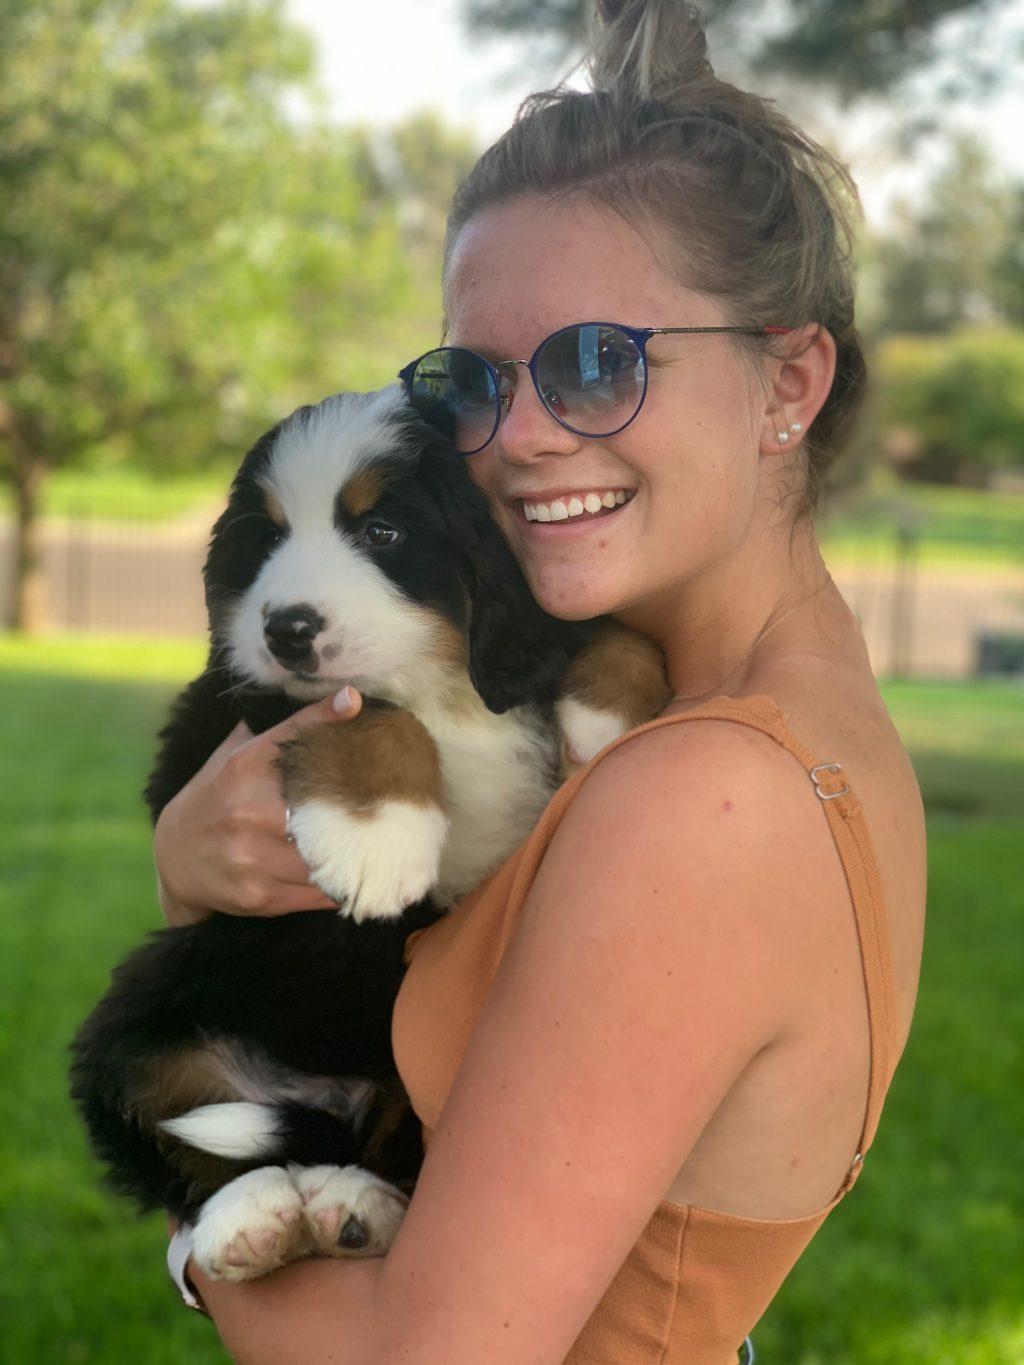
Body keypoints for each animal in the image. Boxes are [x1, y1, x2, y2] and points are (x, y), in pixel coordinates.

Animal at [68, 384, 669, 1277]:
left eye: (382, 532)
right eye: (269, 537)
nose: (286, 628)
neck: (442, 683)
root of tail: (316, 1097)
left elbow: (609, 627)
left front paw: (608, 717)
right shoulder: (228, 709)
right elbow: (368, 710)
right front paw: (377, 839)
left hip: (405, 1049)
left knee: (387, 1146)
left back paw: (357, 1205)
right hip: (150, 997)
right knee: (177, 1140)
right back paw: (249, 1219)